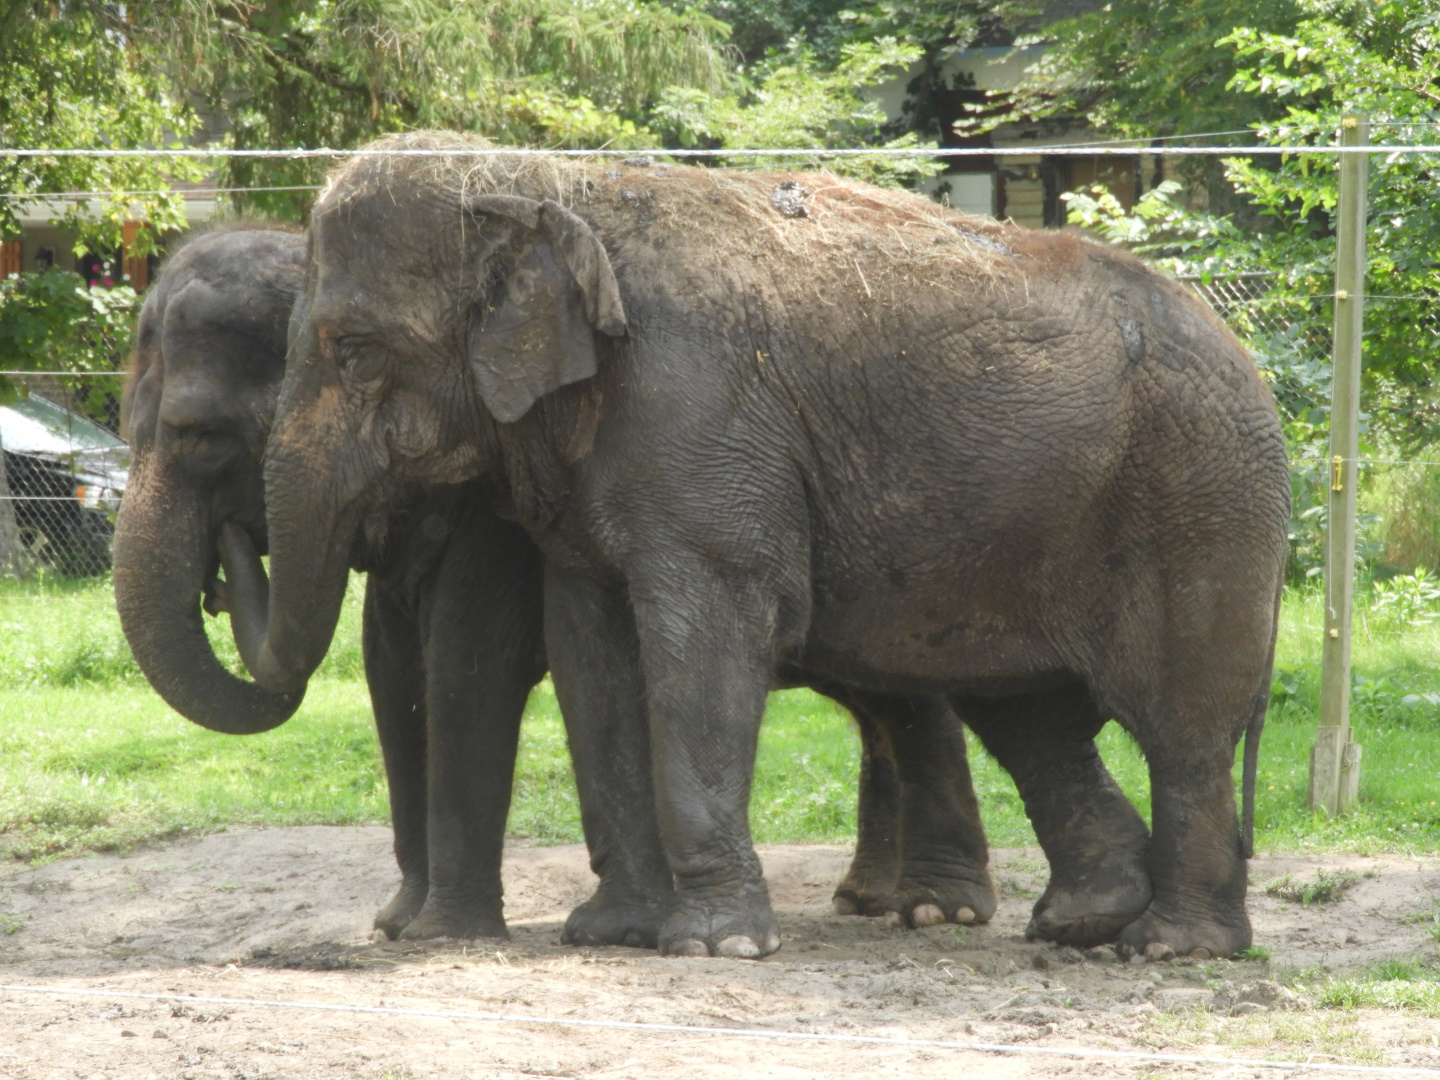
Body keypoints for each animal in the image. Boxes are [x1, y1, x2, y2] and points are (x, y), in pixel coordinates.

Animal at [112, 226, 1093, 943]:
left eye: (200, 435)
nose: (229, 555)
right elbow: (395, 676)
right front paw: (396, 925)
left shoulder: (494, 519)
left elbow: (467, 668)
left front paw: (441, 936)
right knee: (886, 700)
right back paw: (872, 901)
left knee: (911, 698)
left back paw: (934, 910)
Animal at [213, 134, 1288, 961]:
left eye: (355, 351)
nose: (226, 540)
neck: (558, 187)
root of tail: (1249, 354)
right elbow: (591, 654)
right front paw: (614, 934)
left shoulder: (700, 419)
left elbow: (708, 639)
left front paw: (715, 946)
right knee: (1031, 716)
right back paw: (1082, 924)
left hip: (1200, 502)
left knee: (1184, 725)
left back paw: (1170, 947)